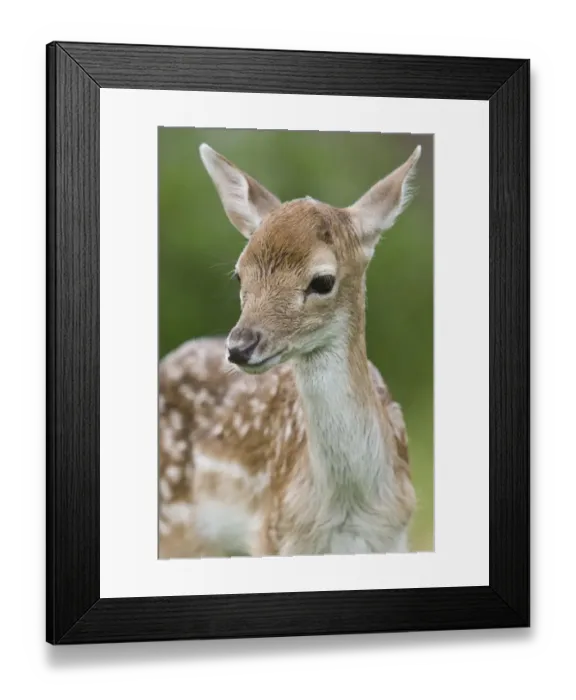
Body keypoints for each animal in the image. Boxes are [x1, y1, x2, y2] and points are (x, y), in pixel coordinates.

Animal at [158, 142, 421, 559]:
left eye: (323, 281)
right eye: (239, 273)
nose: (240, 346)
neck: (348, 512)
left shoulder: (394, 541)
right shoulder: (274, 536)